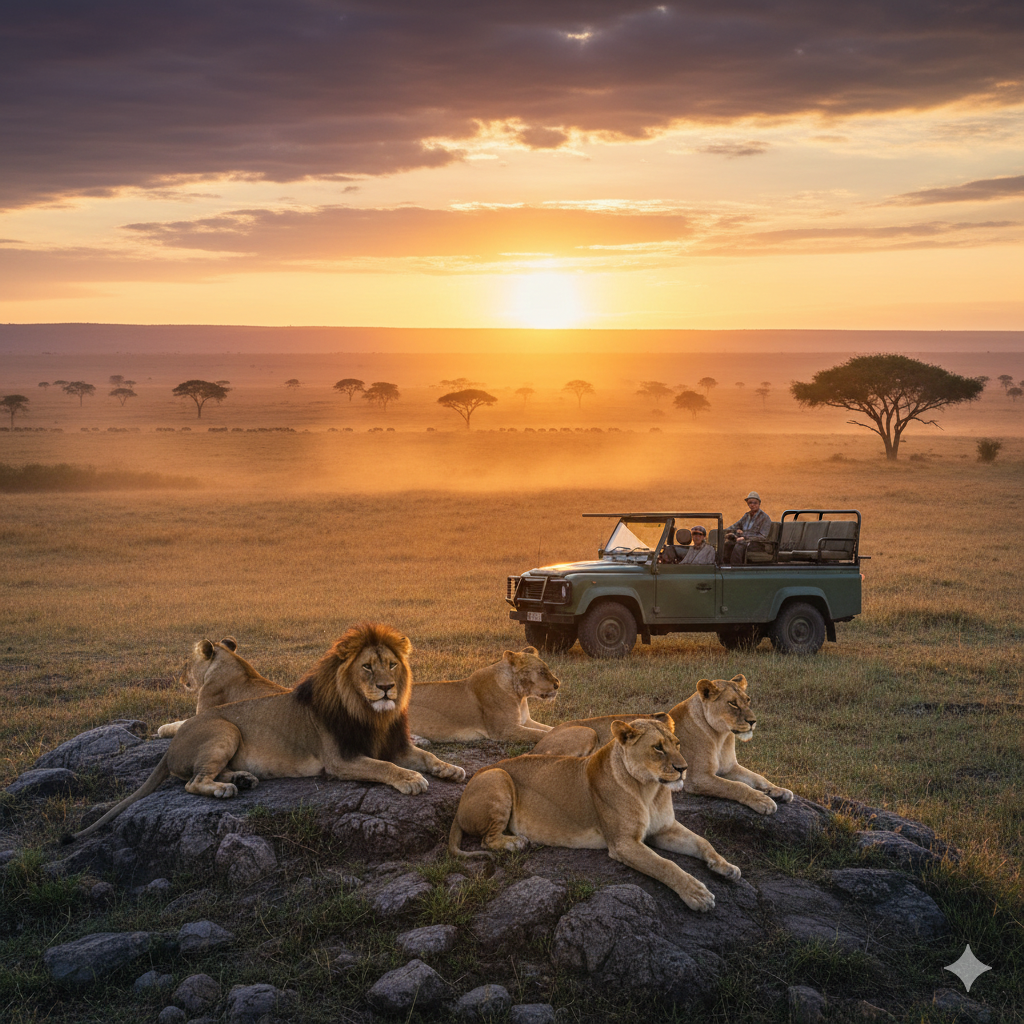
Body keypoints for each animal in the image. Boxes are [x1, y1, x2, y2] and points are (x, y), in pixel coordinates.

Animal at [407, 647, 560, 743]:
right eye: (541, 671)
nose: (557, 684)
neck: (519, 695)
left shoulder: (525, 721)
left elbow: (551, 728)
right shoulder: (504, 730)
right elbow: (540, 734)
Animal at [448, 715, 740, 911]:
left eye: (678, 744)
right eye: (658, 747)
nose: (684, 769)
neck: (650, 789)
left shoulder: (664, 829)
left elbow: (703, 842)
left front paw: (726, 866)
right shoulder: (623, 843)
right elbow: (665, 865)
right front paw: (697, 893)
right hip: (498, 776)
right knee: (487, 839)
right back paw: (516, 842)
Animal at [530, 674, 793, 815]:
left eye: (747, 700)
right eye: (732, 704)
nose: (753, 722)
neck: (721, 736)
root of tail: (538, 743)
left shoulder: (730, 767)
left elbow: (758, 777)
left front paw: (779, 790)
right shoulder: (698, 778)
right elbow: (736, 787)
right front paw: (762, 801)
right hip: (587, 732)